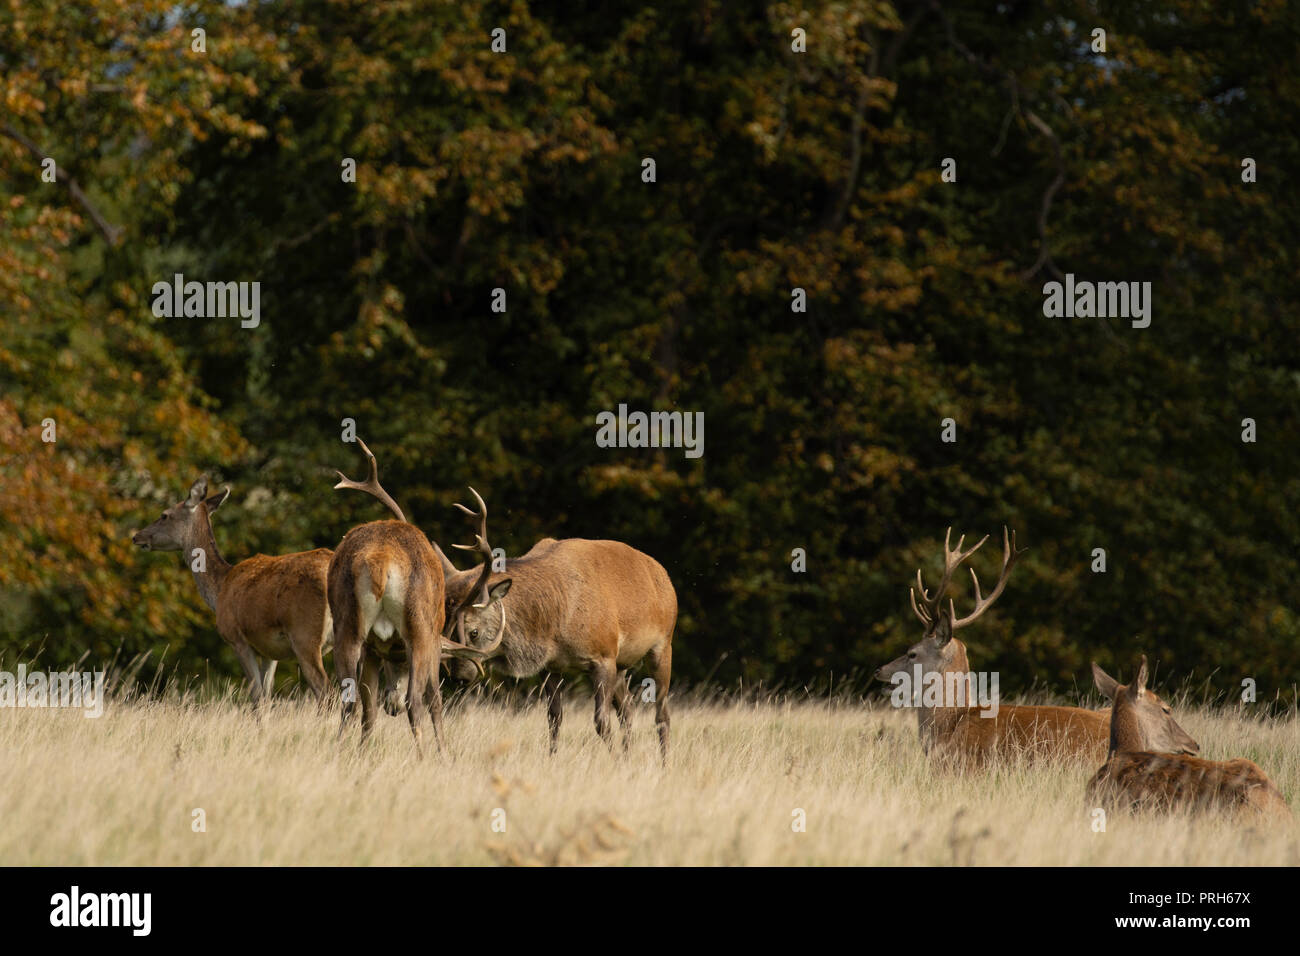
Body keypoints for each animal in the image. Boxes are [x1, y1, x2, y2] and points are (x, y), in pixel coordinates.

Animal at [131, 475, 332, 706]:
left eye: (164, 515)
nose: (136, 536)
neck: (219, 589)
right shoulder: (269, 651)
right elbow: (267, 696)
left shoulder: (236, 637)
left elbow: (257, 697)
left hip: (305, 635)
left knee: (327, 691)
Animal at [328, 442, 497, 757]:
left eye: (395, 662)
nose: (390, 706)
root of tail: (381, 559)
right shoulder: (432, 642)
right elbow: (435, 701)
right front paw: (445, 754)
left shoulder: (373, 650)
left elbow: (369, 711)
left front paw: (364, 752)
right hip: (417, 628)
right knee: (415, 702)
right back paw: (423, 756)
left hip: (346, 626)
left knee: (349, 701)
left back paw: (340, 752)